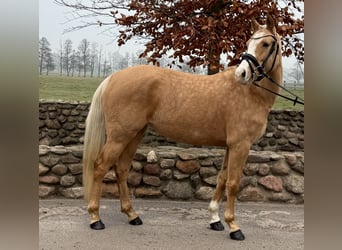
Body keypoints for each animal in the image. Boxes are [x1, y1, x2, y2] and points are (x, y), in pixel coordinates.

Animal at [83, 14, 284, 241]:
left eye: (265, 44)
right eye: (249, 42)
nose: (241, 74)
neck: (250, 94)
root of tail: (113, 78)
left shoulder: (230, 146)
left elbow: (222, 178)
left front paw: (215, 219)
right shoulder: (241, 145)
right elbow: (233, 183)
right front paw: (234, 226)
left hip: (133, 134)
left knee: (122, 169)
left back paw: (131, 214)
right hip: (120, 136)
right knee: (100, 167)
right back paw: (95, 218)